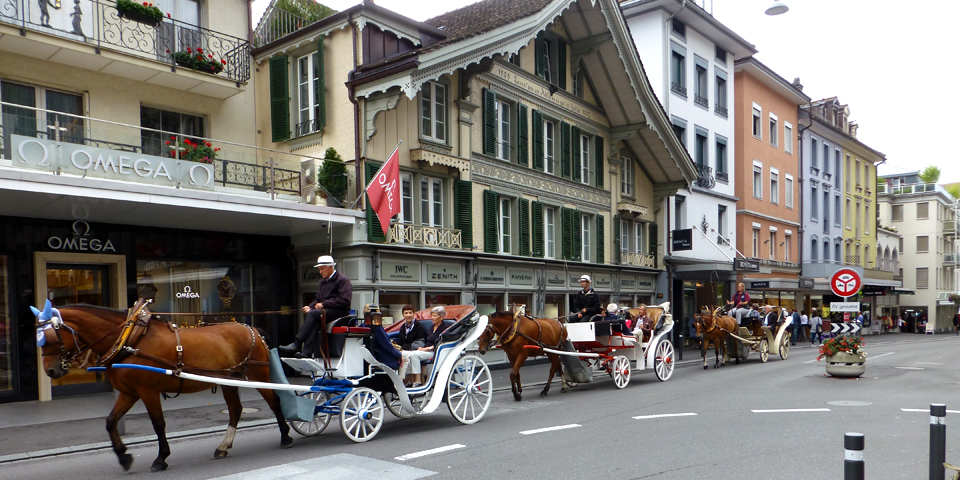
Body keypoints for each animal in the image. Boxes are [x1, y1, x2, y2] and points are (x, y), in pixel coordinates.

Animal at [32, 300, 292, 472]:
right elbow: (111, 421)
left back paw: (286, 437)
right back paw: (223, 447)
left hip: (258, 374)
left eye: (51, 337)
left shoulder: (148, 391)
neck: (130, 338)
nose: (51, 372)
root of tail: (252, 328)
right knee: (236, 410)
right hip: (229, 380)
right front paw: (123, 457)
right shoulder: (128, 392)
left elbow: (158, 424)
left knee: (274, 401)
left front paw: (161, 458)